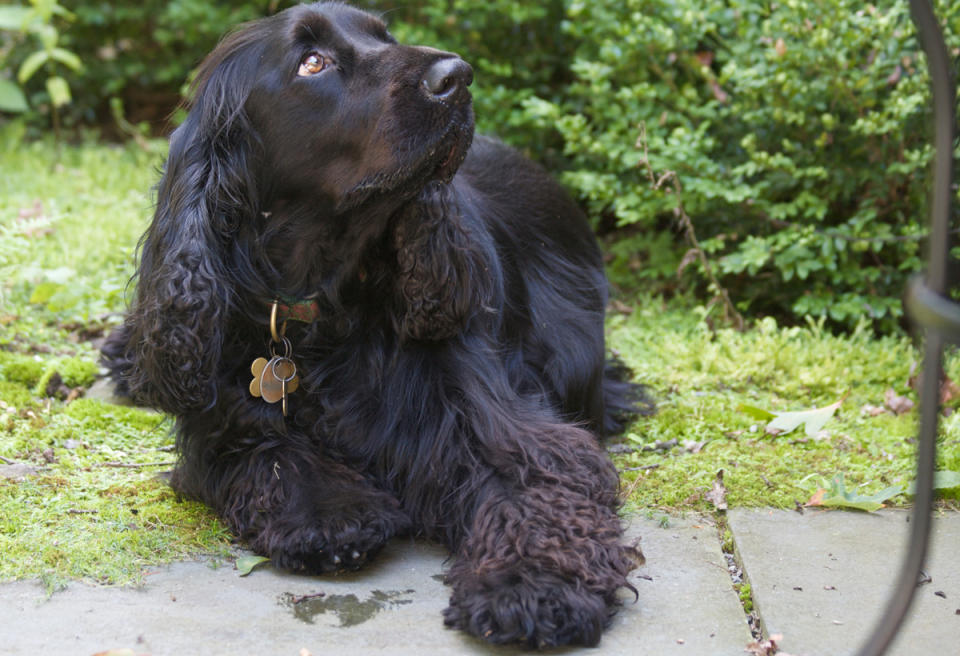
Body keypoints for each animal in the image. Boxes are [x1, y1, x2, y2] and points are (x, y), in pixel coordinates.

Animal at [103, 0, 644, 644]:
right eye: (312, 61)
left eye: (384, 36)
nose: (457, 76)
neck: (323, 302)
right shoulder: (225, 419)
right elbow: (273, 454)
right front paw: (332, 514)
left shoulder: (498, 422)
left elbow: (536, 491)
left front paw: (532, 584)